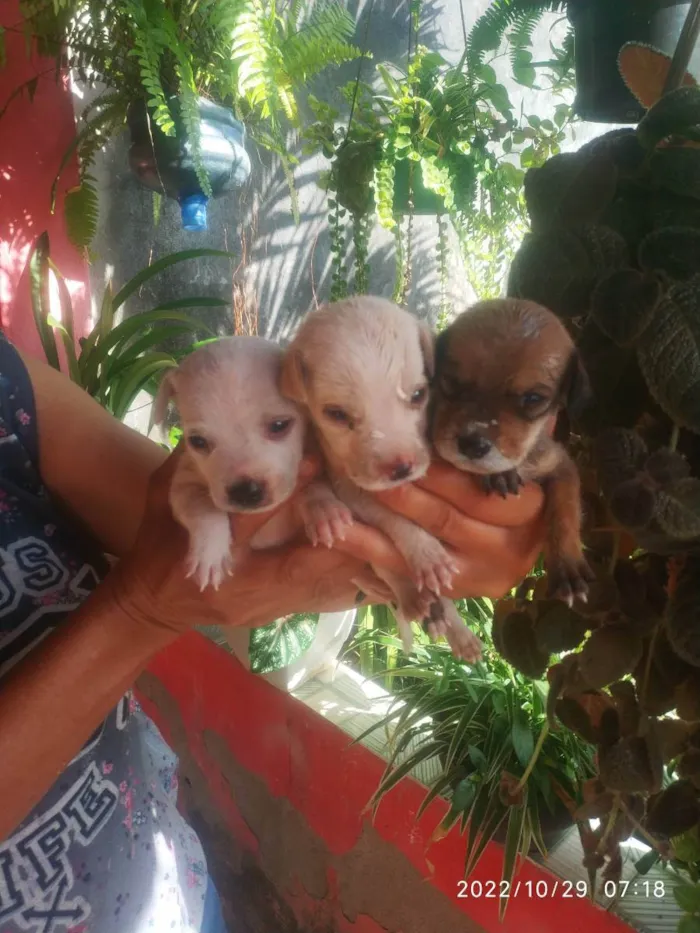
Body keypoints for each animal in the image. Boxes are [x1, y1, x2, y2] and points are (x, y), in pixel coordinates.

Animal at [278, 294, 482, 660]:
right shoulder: (352, 491)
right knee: (394, 578)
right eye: (336, 414)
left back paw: (455, 629)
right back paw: (418, 602)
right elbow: (396, 521)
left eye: (418, 395)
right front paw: (426, 553)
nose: (401, 468)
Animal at [432, 298, 592, 604]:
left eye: (533, 398)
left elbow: (565, 511)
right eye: (452, 381)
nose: (472, 444)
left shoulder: (560, 464)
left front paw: (567, 566)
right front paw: (500, 474)